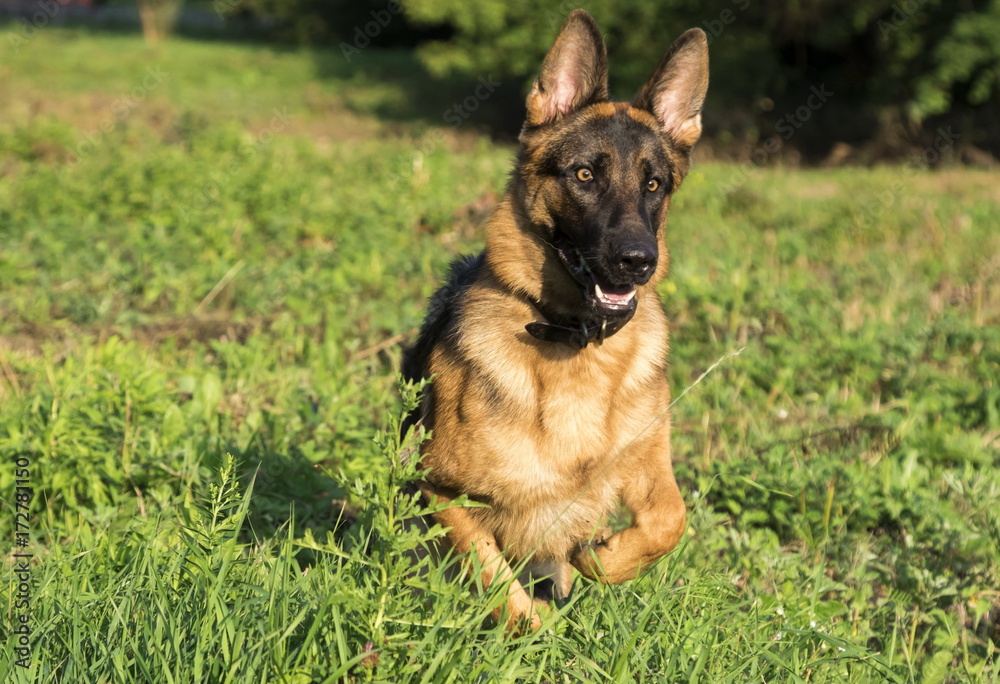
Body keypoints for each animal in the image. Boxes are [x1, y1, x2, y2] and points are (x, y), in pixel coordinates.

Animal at [402, 9, 708, 632]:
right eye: (585, 175)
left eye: (654, 184)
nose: (638, 261)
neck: (577, 340)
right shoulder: (439, 487)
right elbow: (493, 575)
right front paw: (531, 624)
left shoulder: (647, 461)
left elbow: (670, 518)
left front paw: (606, 558)